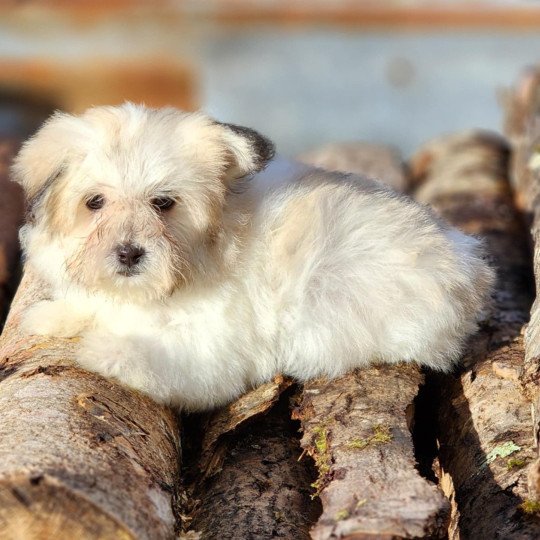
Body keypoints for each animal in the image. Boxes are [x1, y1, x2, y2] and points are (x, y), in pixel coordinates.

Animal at [11, 103, 494, 412]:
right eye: (94, 203)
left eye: (164, 203)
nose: (129, 253)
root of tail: (468, 264)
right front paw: (54, 315)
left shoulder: (211, 351)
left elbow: (159, 362)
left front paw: (105, 349)